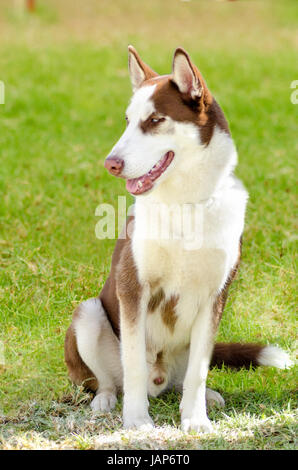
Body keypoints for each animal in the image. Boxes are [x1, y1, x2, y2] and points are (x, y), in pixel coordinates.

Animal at [64, 47, 292, 434]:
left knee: (185, 378)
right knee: (107, 379)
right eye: (127, 120)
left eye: (156, 120)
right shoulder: (132, 287)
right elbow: (134, 363)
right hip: (89, 314)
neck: (185, 203)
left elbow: (198, 371)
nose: (110, 163)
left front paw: (196, 418)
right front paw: (137, 420)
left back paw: (207, 397)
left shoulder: (215, 296)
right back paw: (106, 400)